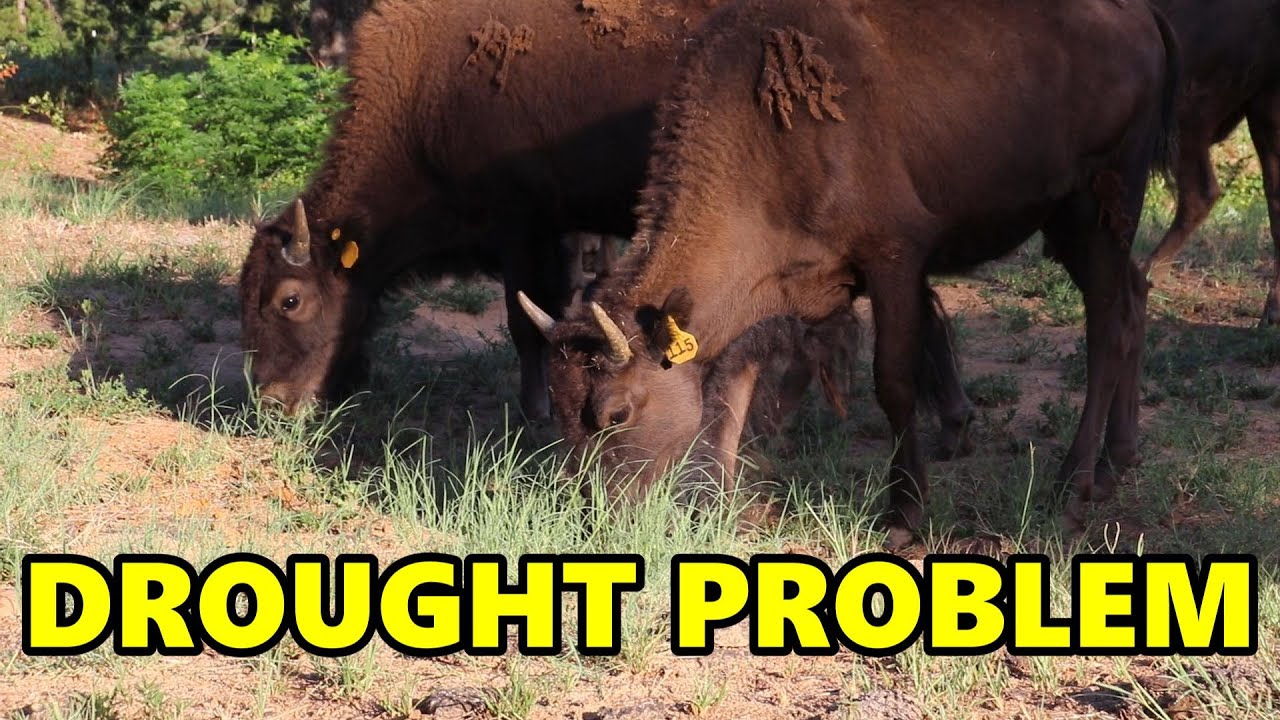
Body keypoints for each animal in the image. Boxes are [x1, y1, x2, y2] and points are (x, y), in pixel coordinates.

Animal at [523, 0, 1178, 536]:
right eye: (559, 408)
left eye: (615, 413)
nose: (594, 517)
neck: (767, 147)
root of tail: (1141, 17)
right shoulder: (767, 299)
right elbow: (731, 395)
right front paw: (718, 507)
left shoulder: (895, 260)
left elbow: (894, 382)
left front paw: (905, 515)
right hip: (1071, 224)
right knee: (1134, 297)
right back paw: (1117, 462)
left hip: (1099, 207)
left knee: (1107, 327)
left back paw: (1073, 486)